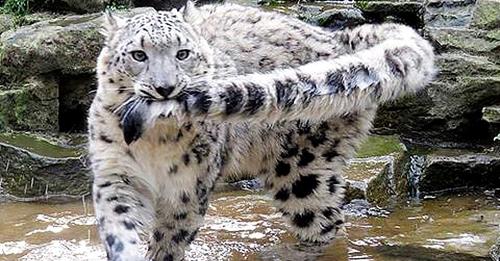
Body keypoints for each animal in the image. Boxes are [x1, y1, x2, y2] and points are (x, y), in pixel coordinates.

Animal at [88, 1, 436, 258]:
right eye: (138, 54)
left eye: (182, 53)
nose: (165, 88)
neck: (154, 141)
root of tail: (336, 38)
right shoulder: (116, 171)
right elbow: (118, 224)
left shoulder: (188, 187)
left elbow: (170, 238)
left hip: (302, 173)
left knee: (326, 224)